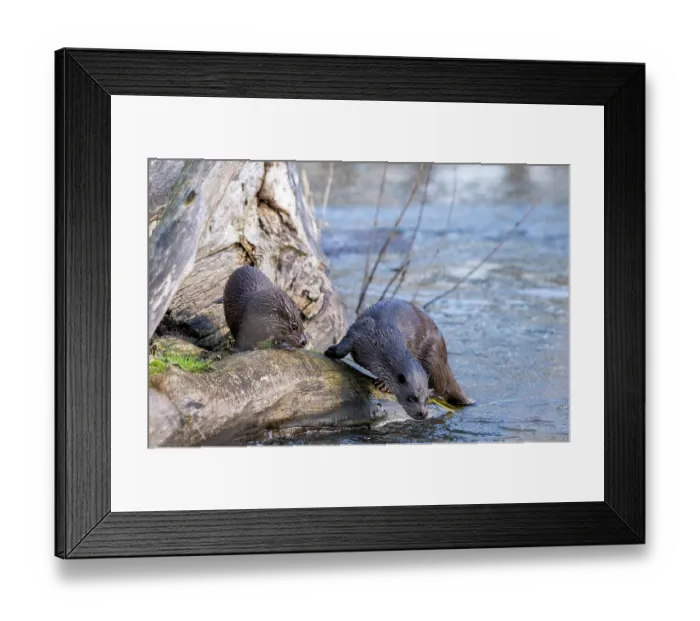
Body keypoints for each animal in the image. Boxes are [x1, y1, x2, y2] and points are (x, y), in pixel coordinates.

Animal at [324, 299, 474, 420]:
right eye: (412, 397)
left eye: (425, 399)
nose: (423, 414)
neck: (379, 339)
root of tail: (444, 356)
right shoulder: (359, 330)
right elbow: (344, 344)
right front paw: (330, 351)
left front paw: (384, 384)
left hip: (433, 356)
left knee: (441, 386)